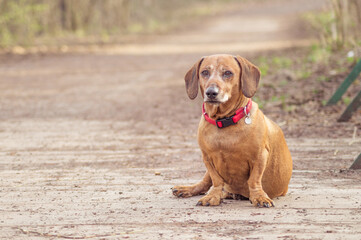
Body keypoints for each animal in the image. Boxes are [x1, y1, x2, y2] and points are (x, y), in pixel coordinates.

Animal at [170, 54, 292, 206]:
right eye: (204, 72)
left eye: (227, 73)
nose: (211, 93)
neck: (224, 121)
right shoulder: (207, 158)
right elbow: (216, 180)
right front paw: (213, 196)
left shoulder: (259, 156)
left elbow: (254, 180)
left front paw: (259, 196)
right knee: (205, 183)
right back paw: (188, 189)